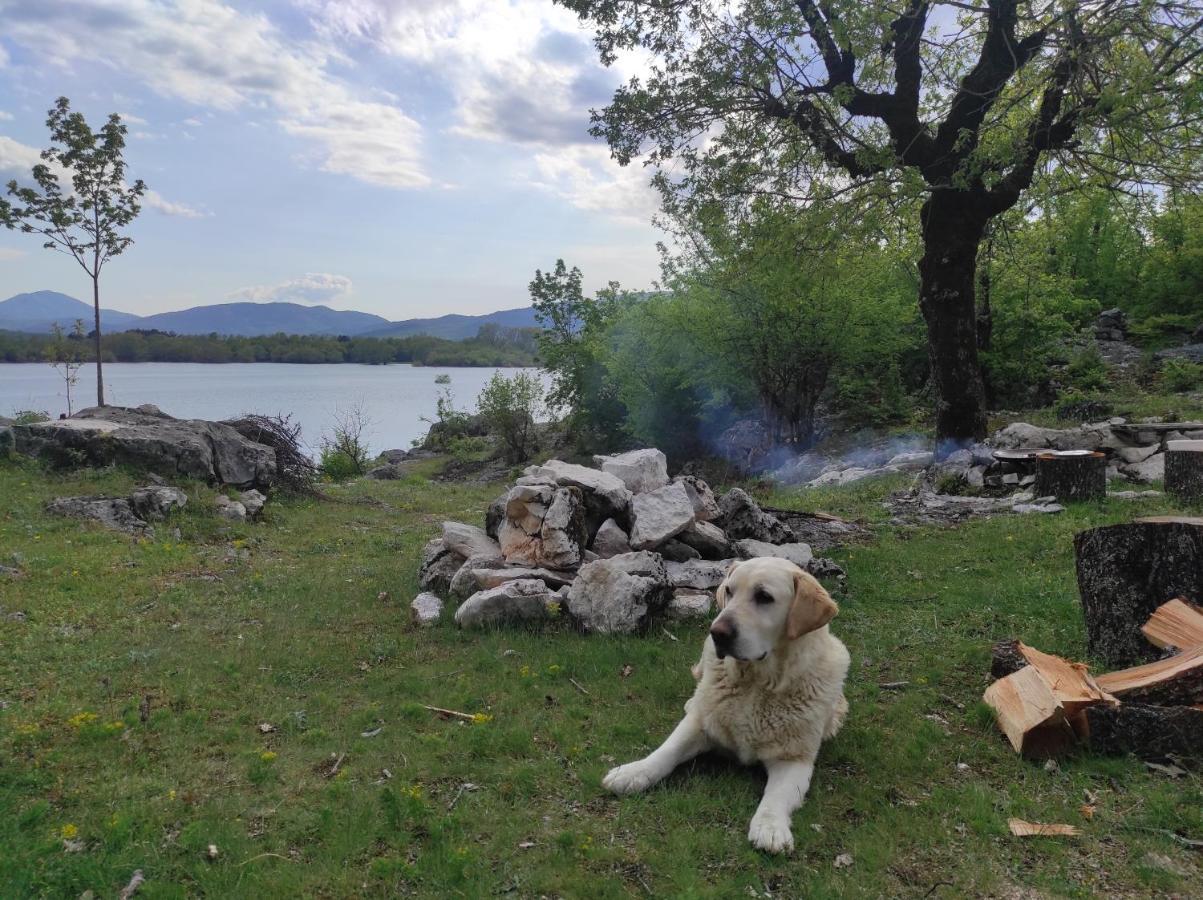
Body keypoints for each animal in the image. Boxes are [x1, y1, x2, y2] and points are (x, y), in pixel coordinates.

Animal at [599, 558, 846, 856]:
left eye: (764, 597)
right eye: (729, 590)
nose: (717, 632)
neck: (756, 684)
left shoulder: (794, 757)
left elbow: (776, 796)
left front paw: (770, 827)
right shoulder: (701, 725)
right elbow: (666, 752)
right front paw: (632, 772)